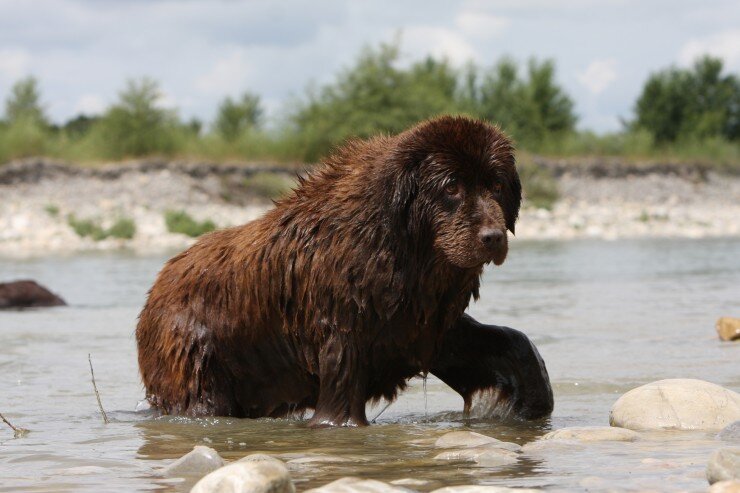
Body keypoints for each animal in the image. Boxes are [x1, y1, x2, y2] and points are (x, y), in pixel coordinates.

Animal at [136, 116, 552, 426]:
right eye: (451, 186)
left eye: (496, 183)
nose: (492, 237)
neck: (402, 250)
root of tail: (157, 285)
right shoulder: (345, 330)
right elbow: (340, 411)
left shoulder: (424, 324)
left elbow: (513, 343)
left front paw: (524, 403)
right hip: (197, 364)